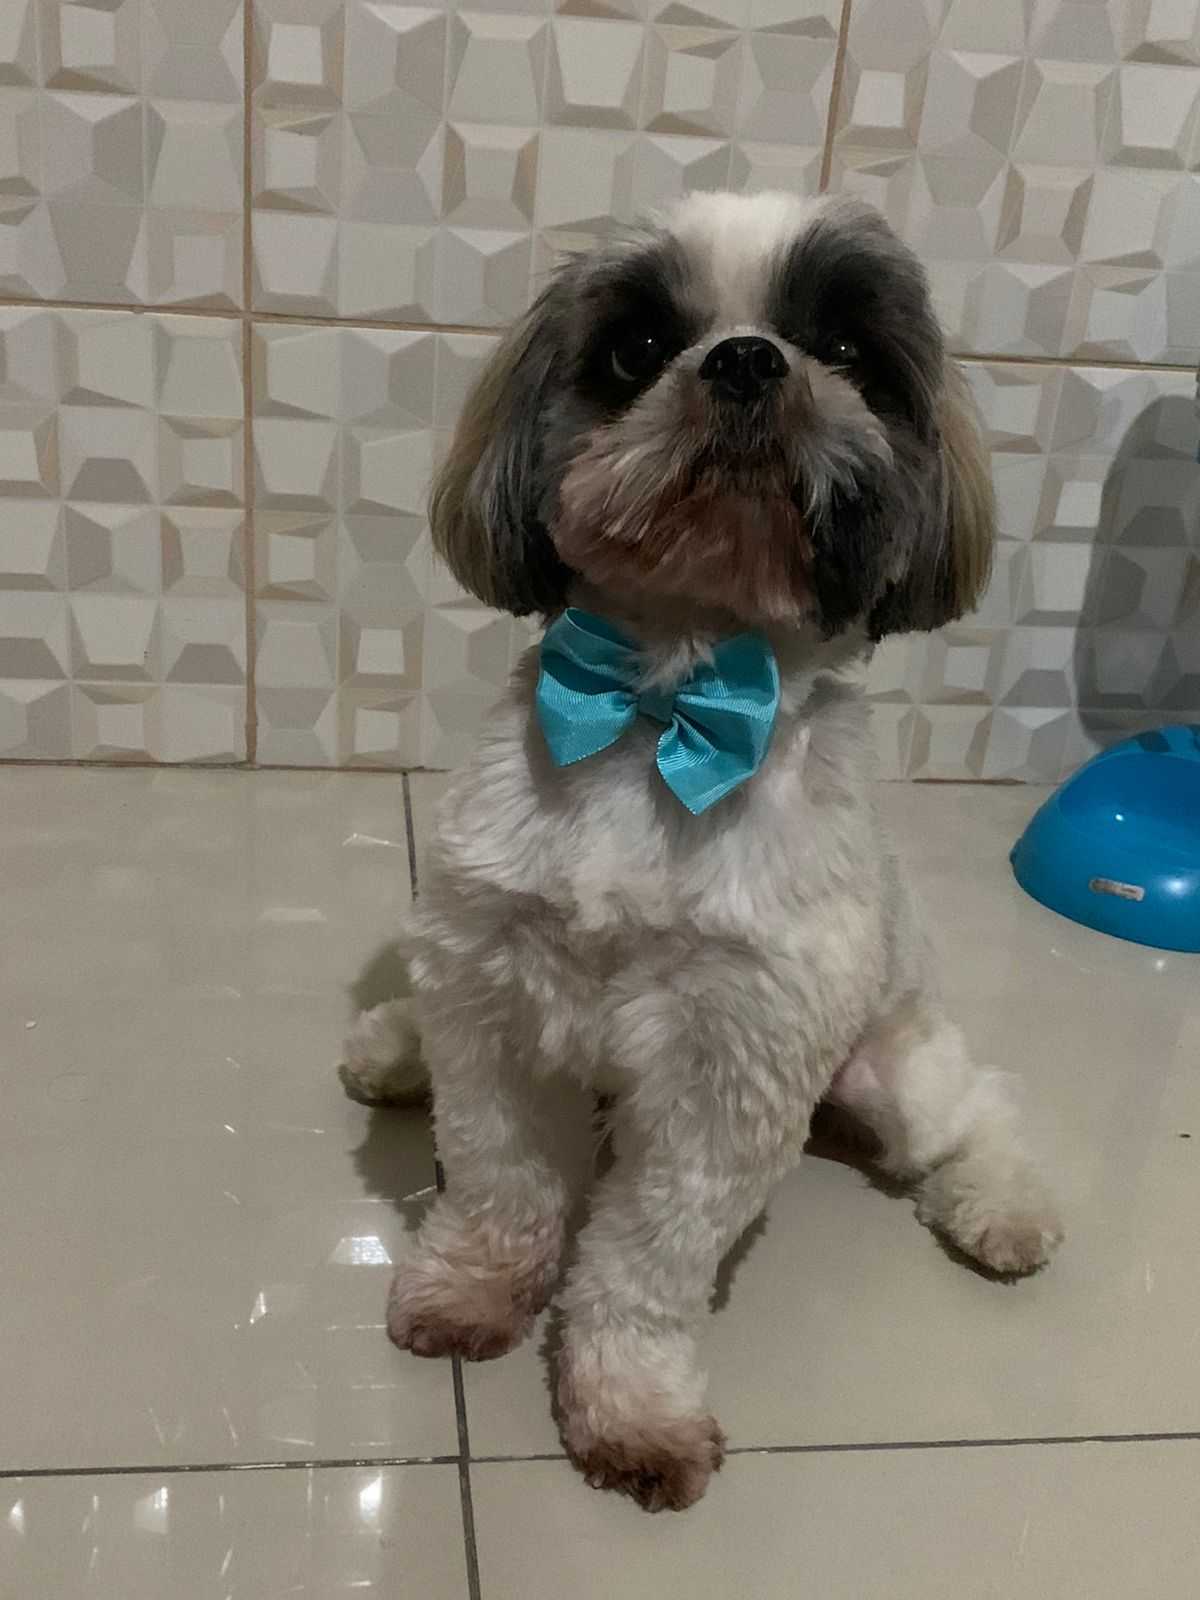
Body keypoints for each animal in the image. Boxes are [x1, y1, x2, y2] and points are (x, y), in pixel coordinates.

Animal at [339, 190, 1063, 1513]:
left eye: (843, 349)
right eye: (637, 348)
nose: (745, 360)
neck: (664, 700)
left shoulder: (733, 1061)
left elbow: (646, 1257)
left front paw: (631, 1408)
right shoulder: (491, 994)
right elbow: (499, 1178)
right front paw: (470, 1288)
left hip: (893, 1069)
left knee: (976, 1109)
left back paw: (1005, 1206)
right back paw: (392, 1045)